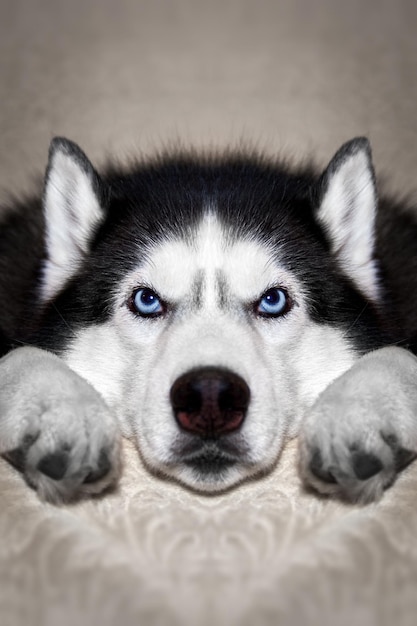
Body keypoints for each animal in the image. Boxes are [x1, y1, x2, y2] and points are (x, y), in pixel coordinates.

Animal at [0, 138, 416, 502]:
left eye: (273, 300)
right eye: (146, 301)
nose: (211, 399)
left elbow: (400, 353)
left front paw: (353, 414)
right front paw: (64, 413)